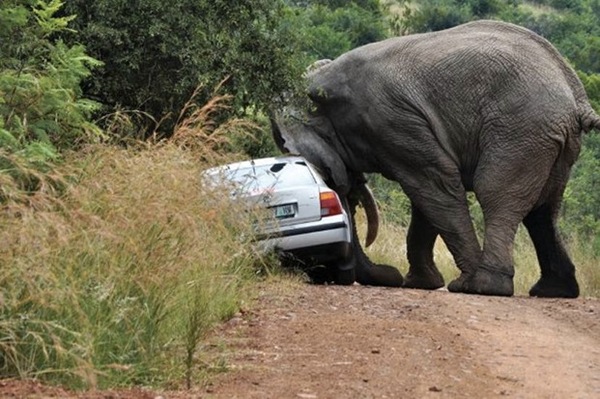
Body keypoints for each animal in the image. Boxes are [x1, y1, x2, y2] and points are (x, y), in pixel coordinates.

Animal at [272, 20, 600, 298]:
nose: (385, 275)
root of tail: (576, 97)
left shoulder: (390, 119)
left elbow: (433, 185)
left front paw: (451, 282)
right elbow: (427, 196)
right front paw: (421, 283)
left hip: (520, 128)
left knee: (495, 192)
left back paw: (481, 287)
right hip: (550, 138)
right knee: (544, 209)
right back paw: (552, 291)